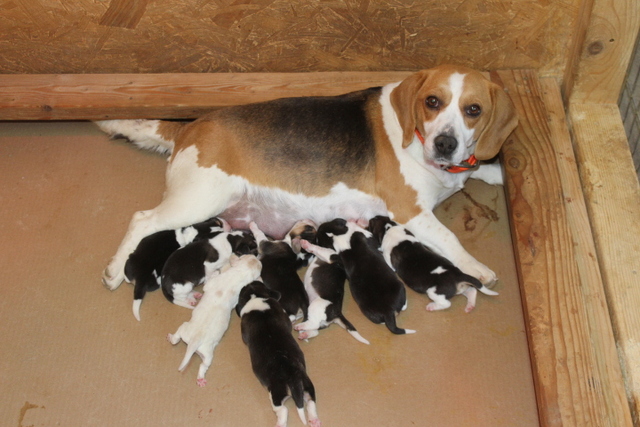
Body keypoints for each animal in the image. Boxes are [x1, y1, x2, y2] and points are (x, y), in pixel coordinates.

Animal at [169, 256, 264, 390]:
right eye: (250, 256)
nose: (257, 257)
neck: (241, 273)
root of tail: (194, 341)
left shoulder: (212, 284)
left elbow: (207, 283)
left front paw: (214, 273)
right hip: (198, 343)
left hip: (202, 347)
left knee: (199, 362)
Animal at [236, 280, 320, 427]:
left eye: (243, 289)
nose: (250, 281)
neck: (256, 297)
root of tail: (292, 377)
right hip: (308, 385)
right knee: (310, 402)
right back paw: (314, 420)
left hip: (276, 393)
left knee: (283, 410)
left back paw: (280, 423)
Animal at [364, 216, 500, 312]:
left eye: (371, 224)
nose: (370, 218)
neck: (389, 227)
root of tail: (458, 275)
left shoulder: (388, 256)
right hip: (460, 288)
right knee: (472, 291)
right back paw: (470, 306)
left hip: (434, 292)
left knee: (446, 303)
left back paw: (432, 306)